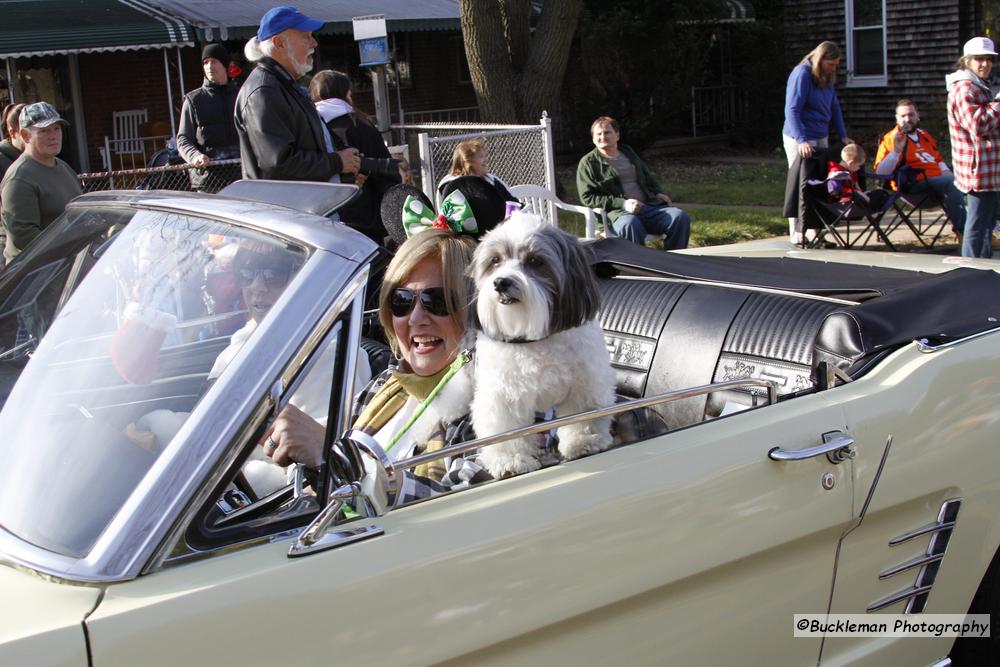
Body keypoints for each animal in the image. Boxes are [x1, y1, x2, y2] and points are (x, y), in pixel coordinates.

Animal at [470, 211, 616, 478]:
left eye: (535, 261)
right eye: (495, 260)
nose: (501, 282)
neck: (535, 337)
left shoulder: (586, 384)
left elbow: (583, 415)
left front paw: (583, 442)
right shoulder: (503, 395)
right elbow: (506, 430)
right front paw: (511, 460)